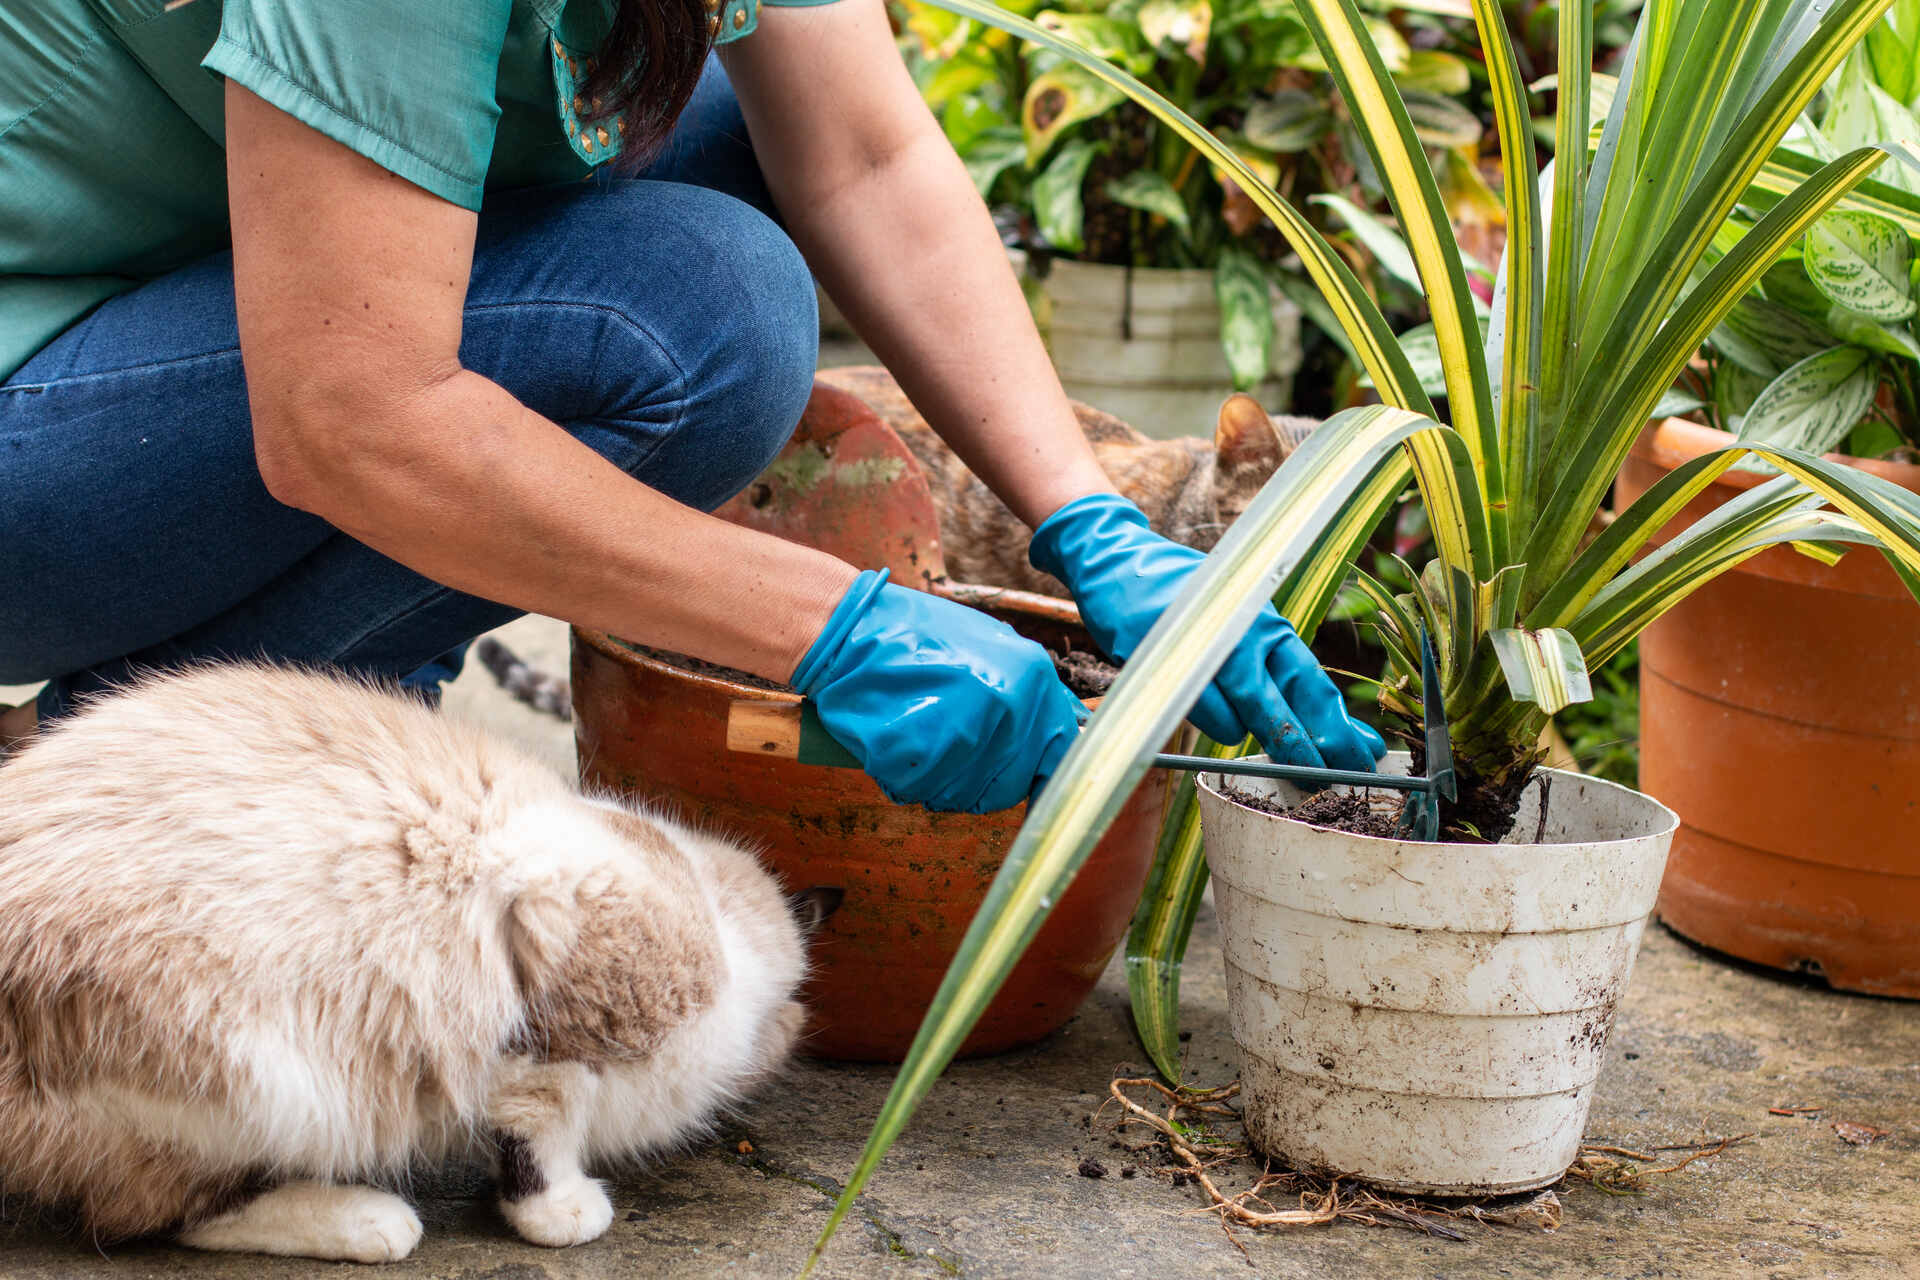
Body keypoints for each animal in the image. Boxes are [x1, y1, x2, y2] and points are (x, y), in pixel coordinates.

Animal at [0, 667, 833, 1266]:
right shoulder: (544, 1023)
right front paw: (562, 1214)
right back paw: (373, 1222)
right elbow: (539, 1141)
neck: (722, 930)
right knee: (154, 1216)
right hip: (265, 1086)